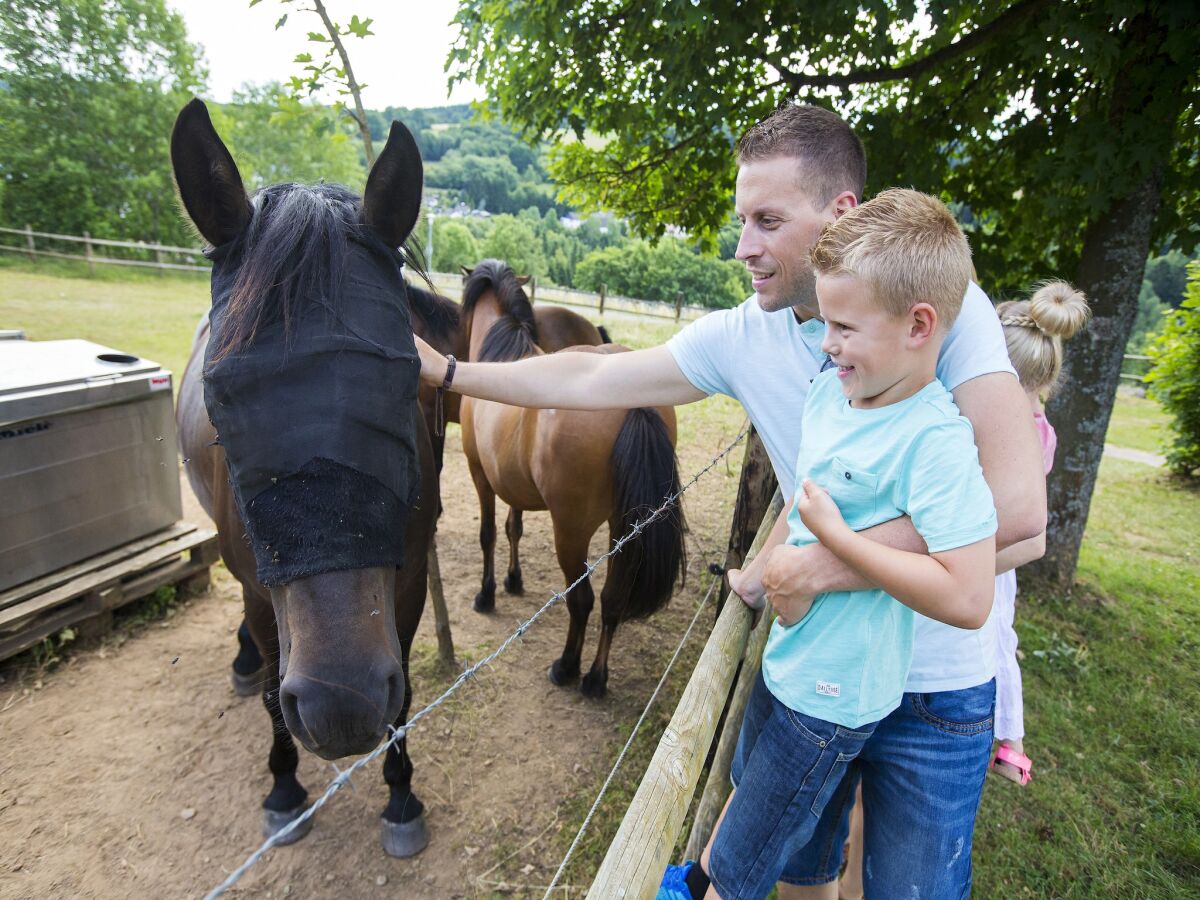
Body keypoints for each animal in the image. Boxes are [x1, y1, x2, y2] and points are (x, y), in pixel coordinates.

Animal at [458, 259, 686, 696]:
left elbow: (488, 534)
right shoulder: (511, 484)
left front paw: (488, 593)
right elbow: (513, 528)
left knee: (581, 601)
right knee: (612, 600)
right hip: (623, 528)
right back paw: (596, 678)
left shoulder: (481, 475)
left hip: (571, 531)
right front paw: (513, 580)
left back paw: (566, 667)